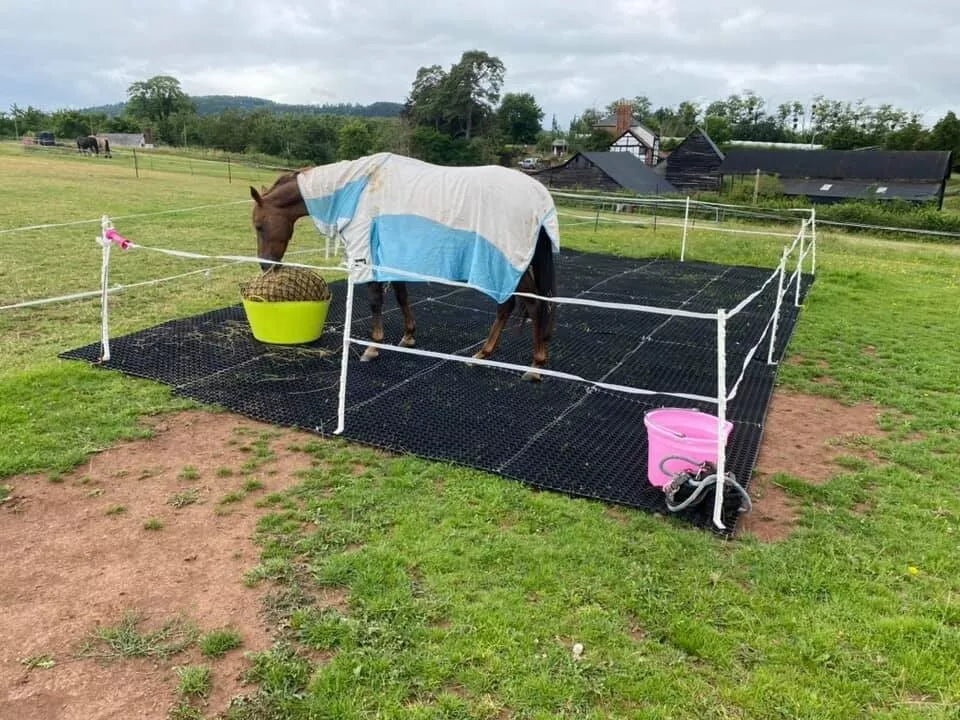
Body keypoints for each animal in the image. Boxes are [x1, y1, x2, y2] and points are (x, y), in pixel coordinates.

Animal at [251, 153, 560, 382]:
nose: (265, 265)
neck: (359, 189)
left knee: (530, 305)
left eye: (258, 225)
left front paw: (374, 347)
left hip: (508, 266)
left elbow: (376, 300)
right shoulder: (392, 256)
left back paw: (533, 366)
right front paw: (408, 336)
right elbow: (401, 296)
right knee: (510, 307)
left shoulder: (370, 255)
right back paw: (485, 354)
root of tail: (539, 196)